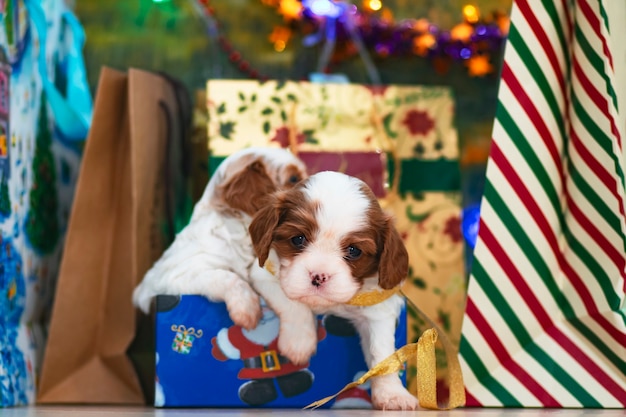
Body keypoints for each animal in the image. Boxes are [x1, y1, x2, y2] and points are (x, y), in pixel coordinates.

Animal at [246, 171, 416, 408]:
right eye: (298, 239)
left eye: (354, 251)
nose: (319, 276)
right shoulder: (262, 273)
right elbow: (291, 302)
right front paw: (299, 343)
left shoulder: (378, 308)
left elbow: (382, 352)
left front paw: (392, 394)